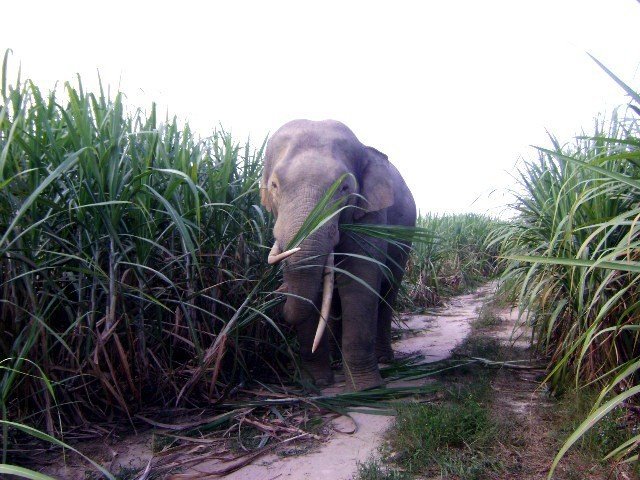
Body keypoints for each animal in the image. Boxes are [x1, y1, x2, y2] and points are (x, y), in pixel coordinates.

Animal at [260, 119, 416, 390]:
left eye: (344, 188)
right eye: (275, 186)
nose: (276, 294)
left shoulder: (370, 213)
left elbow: (359, 279)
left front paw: (366, 388)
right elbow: (314, 287)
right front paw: (316, 384)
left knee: (387, 291)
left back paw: (384, 359)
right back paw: (335, 362)